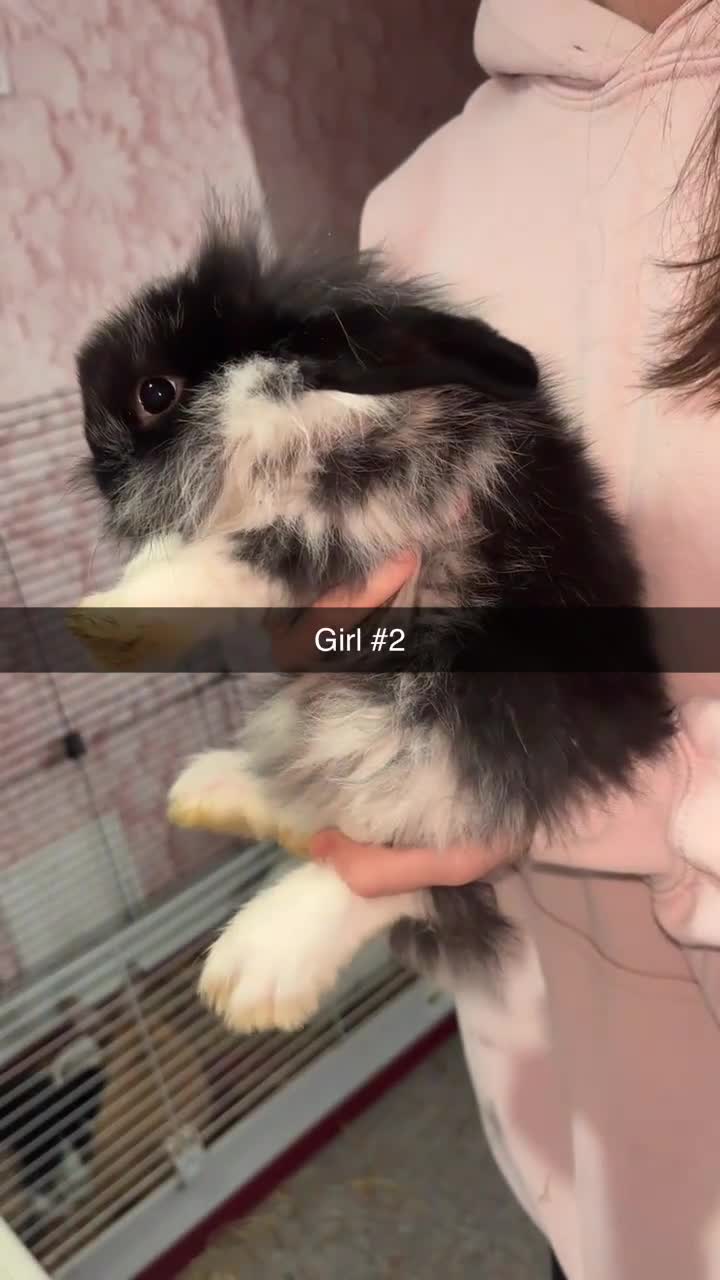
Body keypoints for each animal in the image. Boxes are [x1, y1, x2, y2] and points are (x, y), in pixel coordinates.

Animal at [70, 212, 673, 1034]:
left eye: (155, 392)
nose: (98, 470)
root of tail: (624, 744)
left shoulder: (349, 515)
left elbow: (233, 557)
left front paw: (108, 622)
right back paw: (214, 788)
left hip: (433, 732)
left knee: (404, 858)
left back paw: (256, 966)